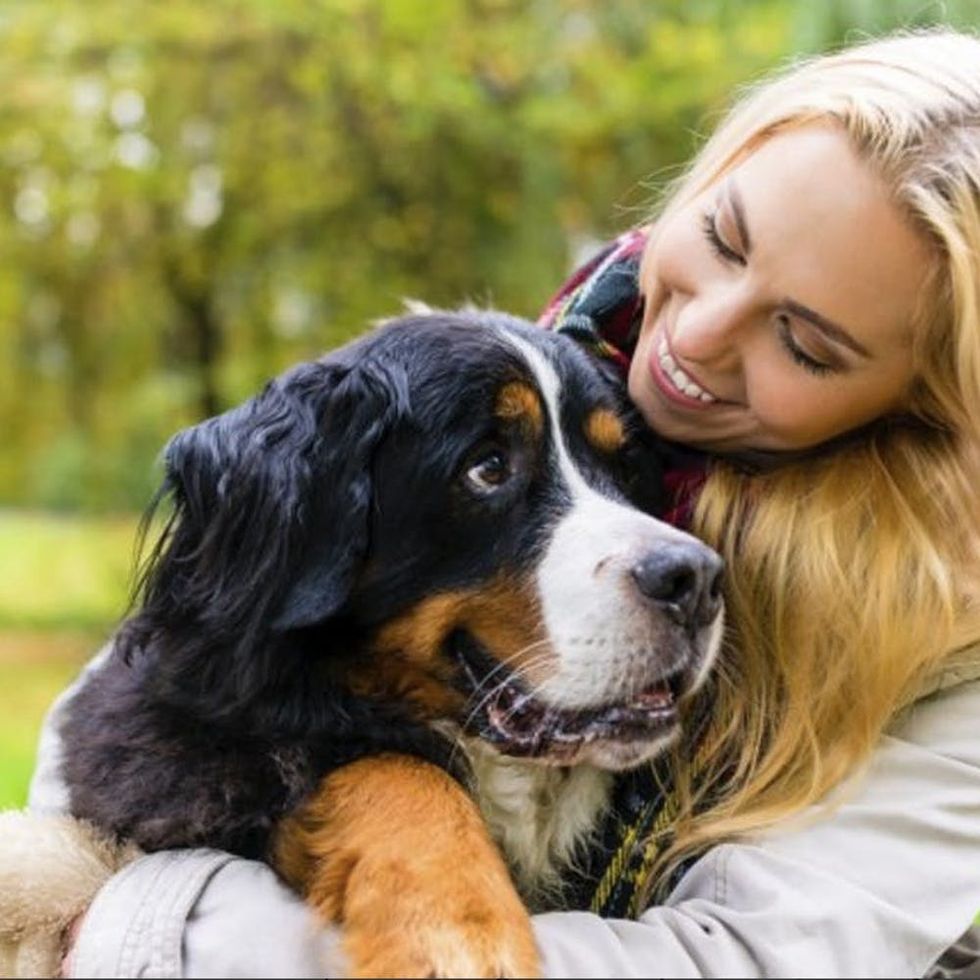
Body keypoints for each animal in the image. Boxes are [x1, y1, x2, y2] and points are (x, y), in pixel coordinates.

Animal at [57, 308, 724, 980]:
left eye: (624, 468)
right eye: (488, 468)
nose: (695, 578)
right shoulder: (182, 759)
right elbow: (395, 766)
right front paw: (459, 933)